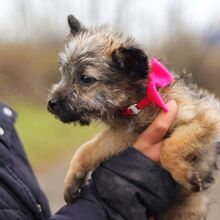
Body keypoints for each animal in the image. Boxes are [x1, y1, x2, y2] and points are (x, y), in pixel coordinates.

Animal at [48, 14, 220, 219]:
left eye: (86, 79)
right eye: (63, 73)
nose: (51, 103)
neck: (143, 100)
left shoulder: (205, 118)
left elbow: (169, 147)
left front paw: (183, 174)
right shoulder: (123, 134)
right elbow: (88, 148)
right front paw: (72, 181)